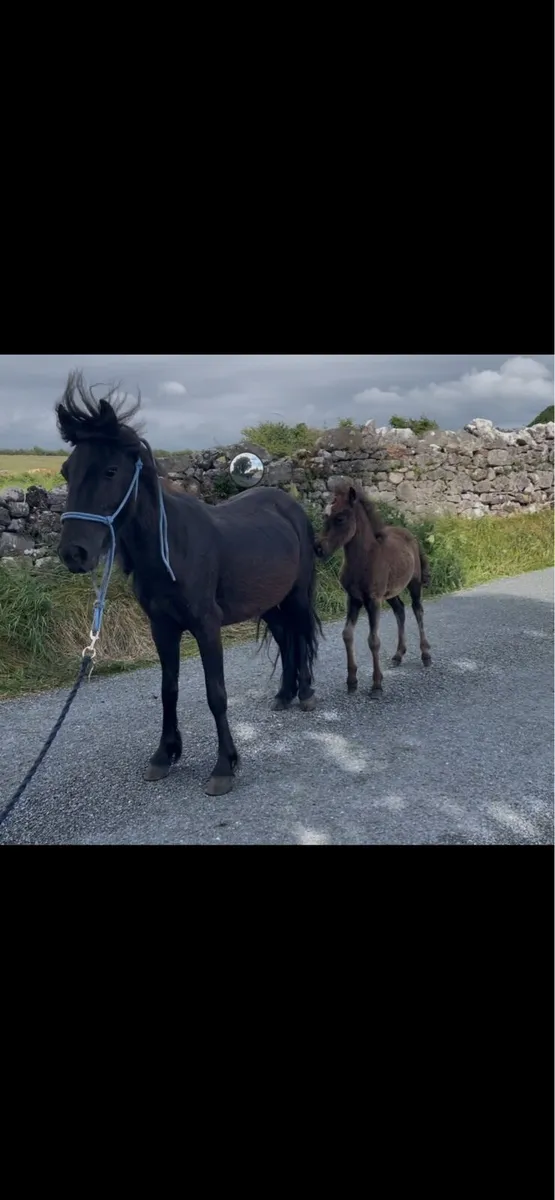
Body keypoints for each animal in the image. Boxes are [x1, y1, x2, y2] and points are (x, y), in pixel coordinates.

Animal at [55, 372, 321, 796]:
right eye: (67, 471)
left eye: (110, 471)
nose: (73, 553)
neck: (173, 549)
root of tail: (289, 505)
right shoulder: (162, 627)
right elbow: (169, 691)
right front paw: (164, 755)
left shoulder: (206, 627)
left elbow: (216, 694)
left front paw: (224, 766)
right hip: (268, 603)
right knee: (285, 639)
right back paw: (284, 694)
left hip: (295, 596)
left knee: (299, 635)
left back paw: (307, 693)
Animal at [315, 480, 431, 694]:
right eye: (324, 516)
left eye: (340, 518)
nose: (318, 548)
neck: (364, 559)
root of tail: (410, 535)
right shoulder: (353, 599)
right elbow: (347, 635)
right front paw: (352, 680)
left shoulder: (373, 600)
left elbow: (373, 640)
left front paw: (377, 685)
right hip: (391, 592)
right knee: (400, 610)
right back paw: (398, 655)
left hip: (414, 584)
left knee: (417, 610)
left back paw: (426, 655)